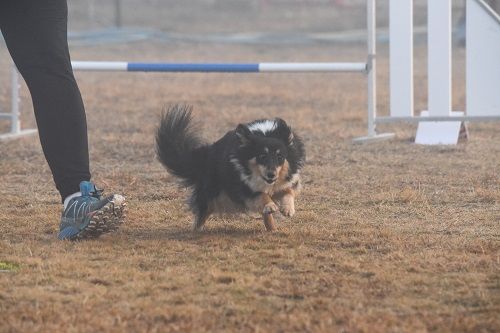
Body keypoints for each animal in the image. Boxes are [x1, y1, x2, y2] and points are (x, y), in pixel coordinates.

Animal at [155, 105, 304, 230]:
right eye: (262, 156)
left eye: (280, 157)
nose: (271, 175)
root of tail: (207, 154)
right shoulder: (243, 185)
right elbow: (260, 195)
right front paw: (270, 205)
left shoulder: (287, 179)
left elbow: (288, 191)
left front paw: (288, 209)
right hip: (211, 193)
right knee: (202, 213)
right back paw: (196, 230)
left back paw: (272, 229)